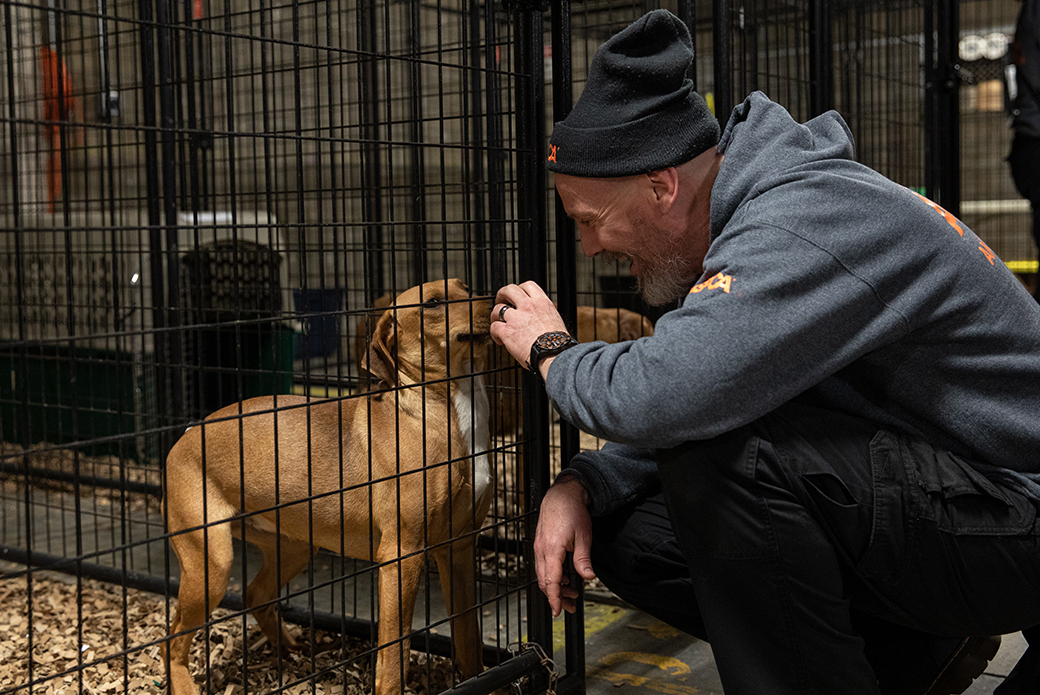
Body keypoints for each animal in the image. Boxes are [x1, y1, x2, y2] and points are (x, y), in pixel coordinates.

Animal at [165, 278, 495, 695]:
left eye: (465, 287)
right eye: (433, 303)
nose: (497, 297)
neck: (438, 412)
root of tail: (188, 434)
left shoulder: (459, 548)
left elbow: (469, 640)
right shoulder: (402, 555)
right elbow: (395, 653)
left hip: (294, 548)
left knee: (256, 594)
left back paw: (291, 649)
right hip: (211, 562)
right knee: (174, 636)